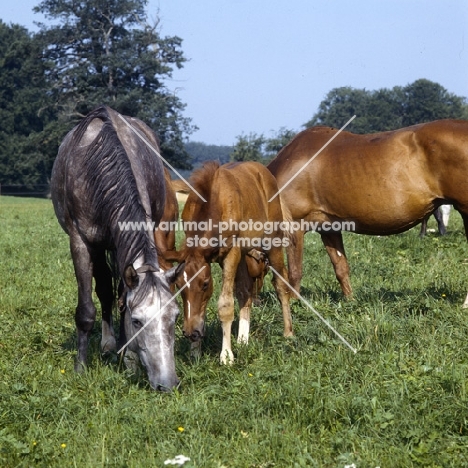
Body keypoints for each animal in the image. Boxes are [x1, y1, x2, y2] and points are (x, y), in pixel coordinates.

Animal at [50, 106, 183, 392]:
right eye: (138, 321)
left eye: (175, 317)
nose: (167, 383)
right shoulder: (80, 242)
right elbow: (87, 309)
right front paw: (80, 367)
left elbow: (122, 297)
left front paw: (128, 358)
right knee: (103, 290)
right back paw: (107, 345)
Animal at [165, 160, 292, 362]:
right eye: (178, 285)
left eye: (205, 283)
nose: (191, 333)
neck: (216, 200)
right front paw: (195, 353)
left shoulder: (231, 253)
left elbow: (225, 304)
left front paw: (226, 356)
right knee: (245, 290)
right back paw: (242, 339)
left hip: (273, 242)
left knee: (280, 283)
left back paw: (288, 333)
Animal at [268, 119, 468, 306]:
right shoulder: (329, 228)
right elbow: (341, 268)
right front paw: (350, 302)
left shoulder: (295, 226)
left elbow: (295, 273)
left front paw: (294, 304)